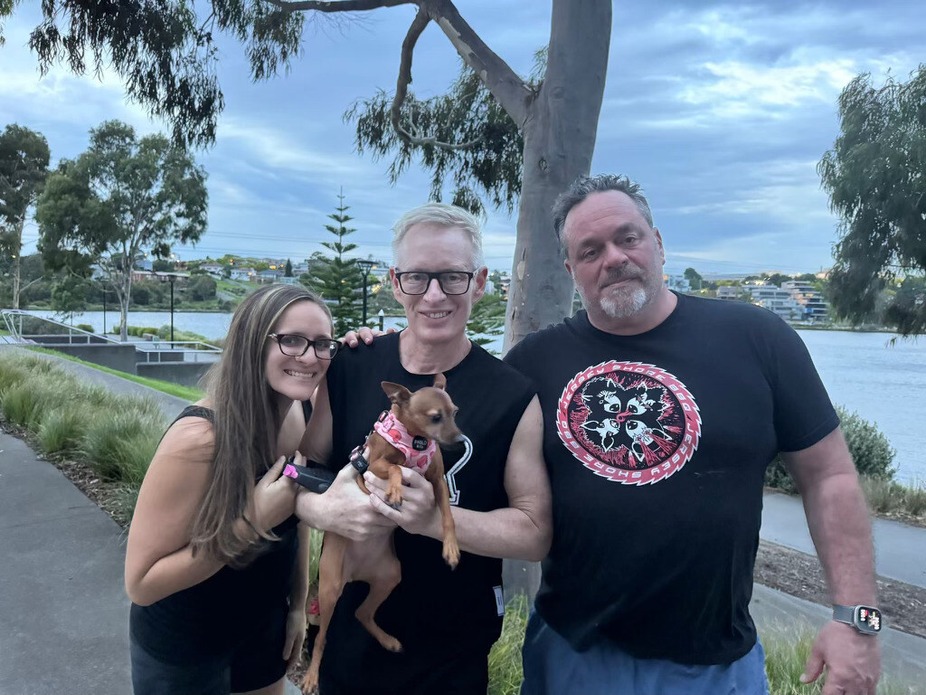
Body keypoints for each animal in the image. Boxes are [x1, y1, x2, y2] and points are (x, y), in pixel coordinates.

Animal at [301, 373, 462, 694]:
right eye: (435, 417)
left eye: (455, 413)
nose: (461, 440)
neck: (414, 441)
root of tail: (356, 573)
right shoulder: (374, 466)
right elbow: (396, 469)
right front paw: (396, 490)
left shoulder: (437, 482)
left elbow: (448, 517)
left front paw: (451, 548)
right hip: (329, 589)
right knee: (322, 638)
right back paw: (312, 677)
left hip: (390, 575)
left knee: (362, 613)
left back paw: (388, 640)